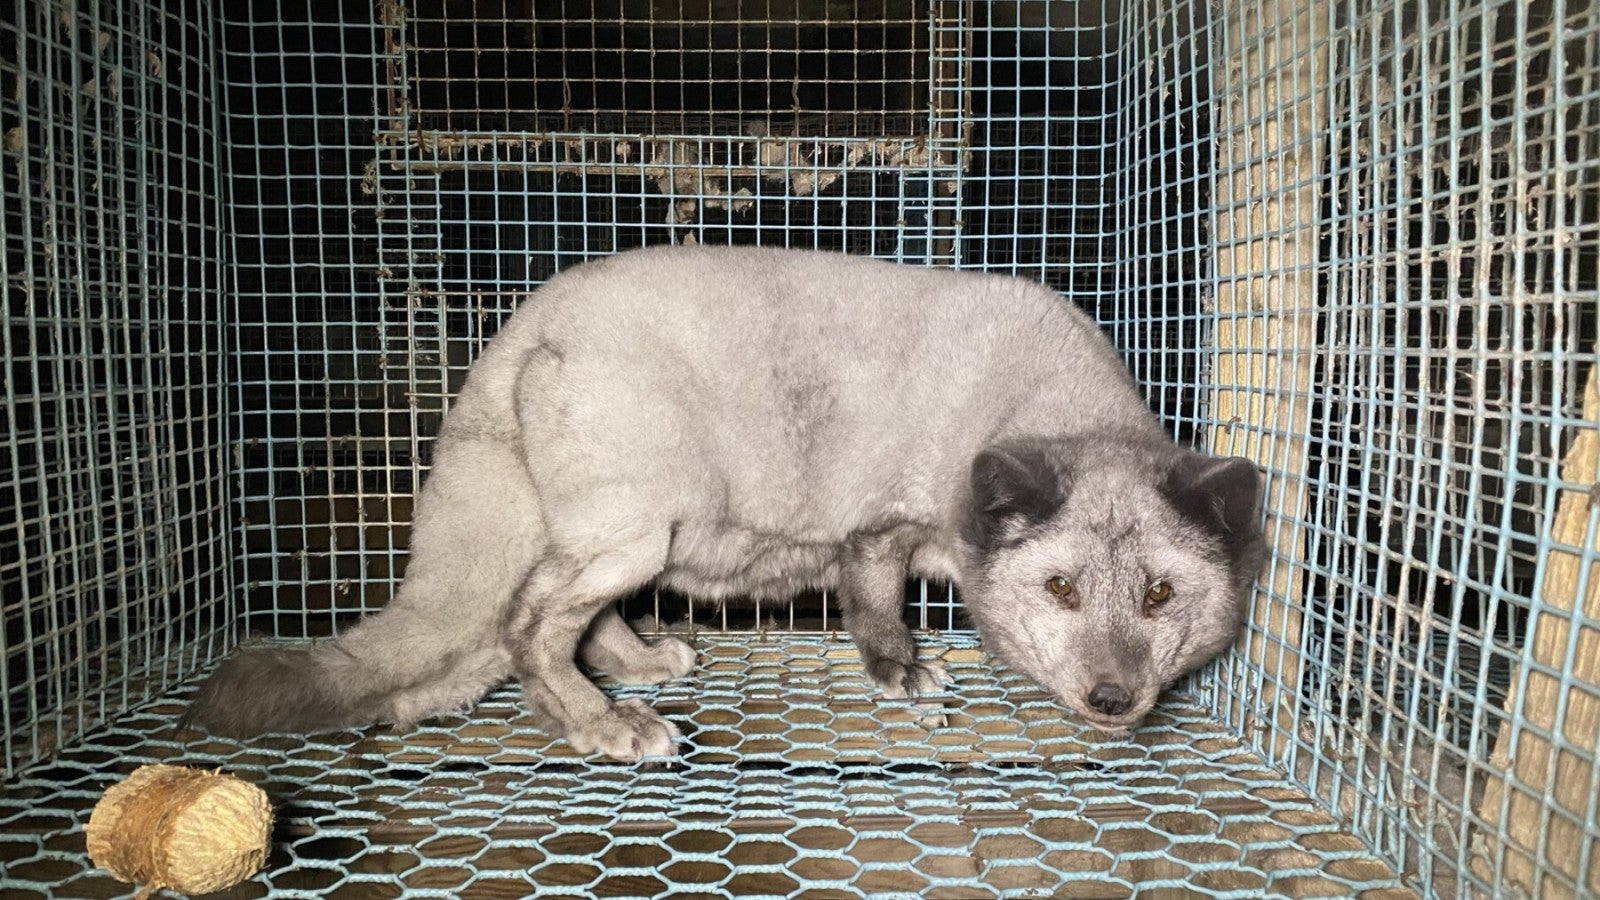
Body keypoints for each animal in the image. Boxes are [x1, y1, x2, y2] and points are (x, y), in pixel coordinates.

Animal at [185, 245, 1267, 761]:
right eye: (1061, 589)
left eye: (1160, 596)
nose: (1113, 701)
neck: (1035, 401)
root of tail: (521, 327)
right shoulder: (881, 525)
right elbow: (874, 600)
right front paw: (899, 671)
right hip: (633, 523)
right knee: (527, 620)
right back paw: (599, 722)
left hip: (634, 534)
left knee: (555, 619)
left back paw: (633, 664)